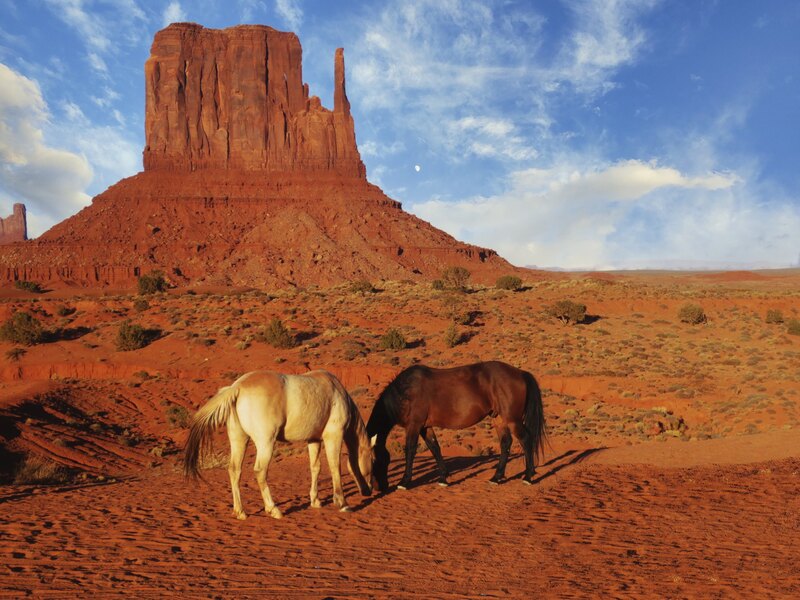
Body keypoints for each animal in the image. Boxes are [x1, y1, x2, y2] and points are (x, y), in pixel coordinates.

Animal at [184, 370, 375, 519]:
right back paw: (273, 509)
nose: (369, 490)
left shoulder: (313, 440)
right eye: (373, 460)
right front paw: (342, 503)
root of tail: (237, 387)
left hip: (239, 440)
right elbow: (335, 467)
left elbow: (316, 468)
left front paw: (315, 501)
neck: (336, 391)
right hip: (266, 443)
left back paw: (240, 512)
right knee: (260, 471)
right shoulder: (333, 436)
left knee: (234, 470)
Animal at [366, 361, 546, 492]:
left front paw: (404, 482)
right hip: (499, 419)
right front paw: (443, 478)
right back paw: (496, 477)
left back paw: (528, 477)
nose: (379, 488)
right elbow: (435, 448)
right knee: (506, 443)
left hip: (512, 419)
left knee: (526, 439)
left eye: (375, 461)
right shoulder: (425, 427)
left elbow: (410, 450)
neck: (405, 392)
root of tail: (521, 373)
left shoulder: (414, 425)